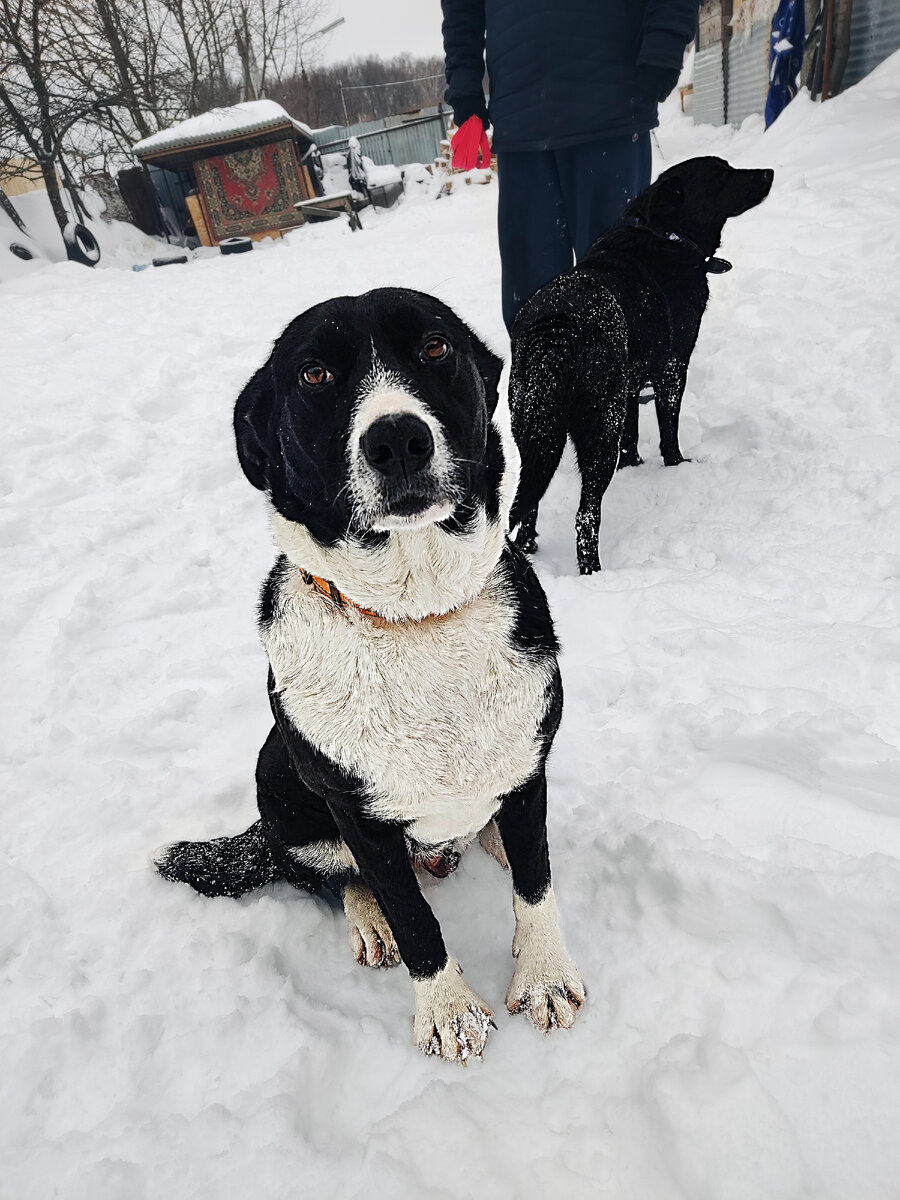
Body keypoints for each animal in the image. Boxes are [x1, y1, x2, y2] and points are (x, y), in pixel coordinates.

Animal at [158, 288, 588, 1060]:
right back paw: (369, 918)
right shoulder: (356, 811)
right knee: (324, 874)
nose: (397, 440)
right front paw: (448, 1010)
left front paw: (543, 975)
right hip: (278, 773)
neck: (415, 615)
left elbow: (536, 880)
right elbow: (413, 917)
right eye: (315, 375)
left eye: (435, 347)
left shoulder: (528, 762)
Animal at [508, 154, 777, 576]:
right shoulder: (673, 367)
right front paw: (677, 465)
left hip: (536, 429)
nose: (769, 173)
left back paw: (527, 548)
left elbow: (633, 433)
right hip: (599, 427)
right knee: (585, 516)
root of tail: (555, 327)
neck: (668, 236)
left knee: (530, 499)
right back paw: (594, 573)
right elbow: (669, 428)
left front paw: (633, 465)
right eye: (721, 174)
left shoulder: (631, 384)